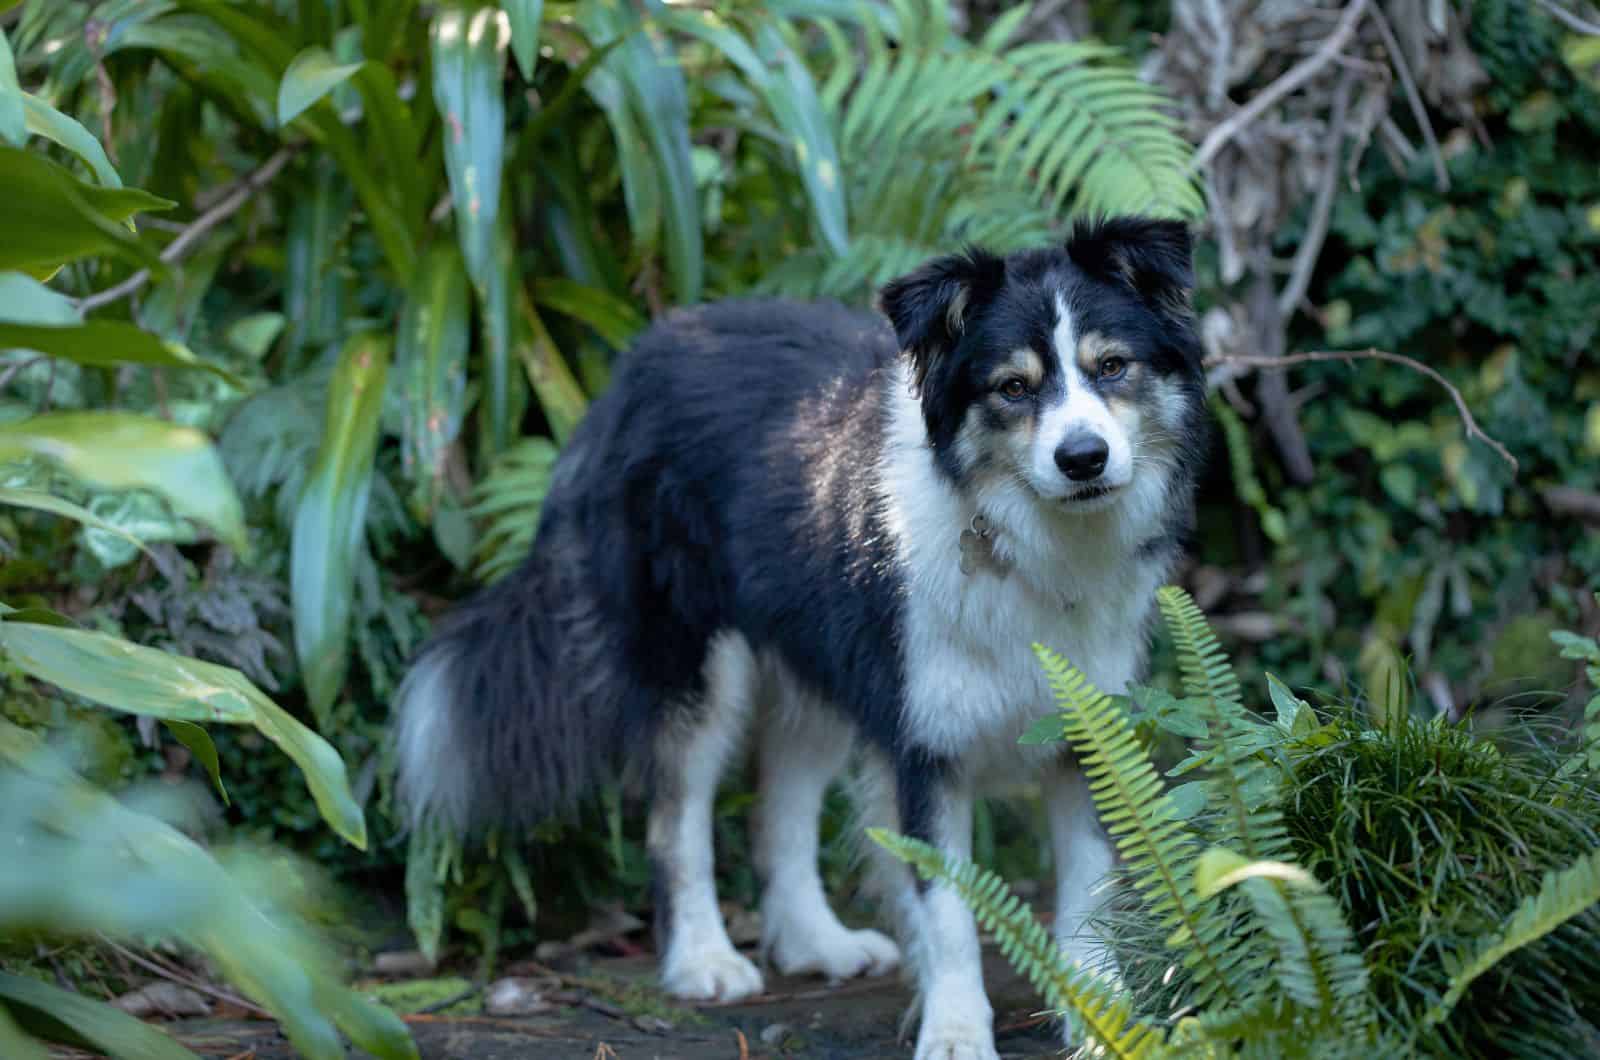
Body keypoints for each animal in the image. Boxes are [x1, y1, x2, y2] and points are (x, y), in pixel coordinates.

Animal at [393, 217, 1203, 1060]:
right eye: (1012, 387)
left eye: (1112, 367)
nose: (1084, 459)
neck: (1019, 537)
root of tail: (640, 359)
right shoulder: (923, 748)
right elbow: (947, 910)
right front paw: (955, 1033)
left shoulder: (1086, 734)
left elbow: (1089, 898)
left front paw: (1106, 1023)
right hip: (696, 670)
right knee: (677, 820)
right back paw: (705, 959)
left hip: (814, 664)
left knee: (779, 804)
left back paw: (816, 941)